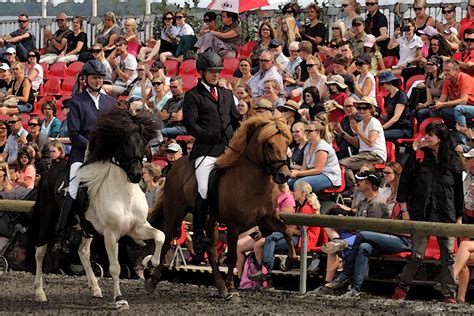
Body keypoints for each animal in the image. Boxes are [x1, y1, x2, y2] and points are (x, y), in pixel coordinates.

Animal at [31, 110, 165, 310]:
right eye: (125, 142)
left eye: (143, 142)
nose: (136, 175)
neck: (124, 193)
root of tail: (50, 170)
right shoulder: (111, 234)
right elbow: (115, 267)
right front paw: (119, 299)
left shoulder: (137, 228)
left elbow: (160, 236)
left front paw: (150, 262)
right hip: (47, 219)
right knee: (40, 253)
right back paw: (39, 292)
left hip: (87, 230)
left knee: (83, 253)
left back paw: (95, 288)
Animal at [144, 116, 294, 298]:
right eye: (270, 145)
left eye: (287, 143)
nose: (284, 175)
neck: (252, 183)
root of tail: (175, 165)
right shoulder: (234, 225)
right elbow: (232, 257)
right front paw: (232, 287)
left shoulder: (266, 219)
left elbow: (287, 230)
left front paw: (291, 260)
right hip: (175, 213)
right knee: (167, 242)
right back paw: (153, 282)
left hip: (210, 221)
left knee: (211, 252)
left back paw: (221, 287)